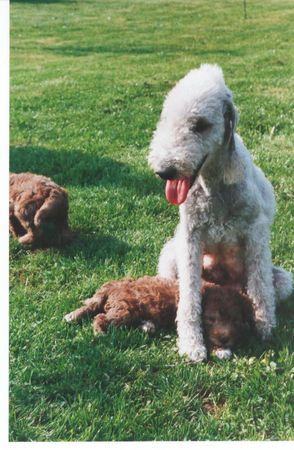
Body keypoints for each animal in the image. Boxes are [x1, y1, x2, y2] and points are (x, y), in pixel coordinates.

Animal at [65, 276, 255, 360]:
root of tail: (114, 285)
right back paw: (99, 332)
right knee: (100, 316)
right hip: (124, 310)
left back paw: (147, 326)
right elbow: (202, 336)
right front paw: (221, 350)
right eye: (211, 320)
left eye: (235, 321)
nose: (225, 339)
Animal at [148, 63, 292, 360]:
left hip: (284, 280)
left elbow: (260, 288)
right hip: (170, 256)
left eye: (201, 125)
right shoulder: (190, 238)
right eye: (167, 119)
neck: (215, 184)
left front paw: (264, 329)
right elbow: (189, 298)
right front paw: (191, 344)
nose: (164, 171)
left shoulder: (256, 234)